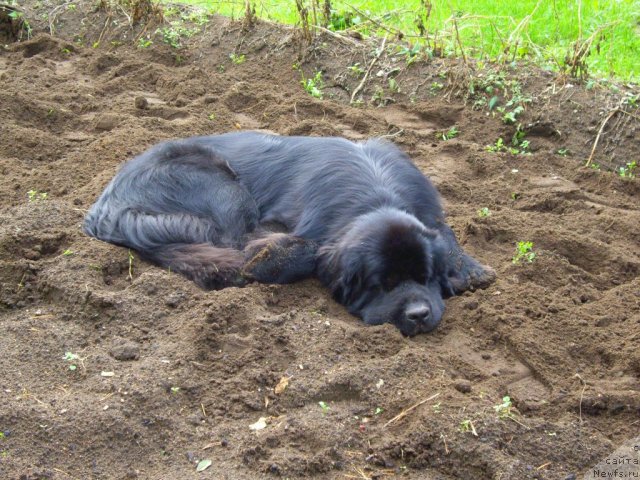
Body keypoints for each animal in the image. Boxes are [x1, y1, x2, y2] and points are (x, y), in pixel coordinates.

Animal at [85, 130, 496, 334]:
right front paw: (265, 260)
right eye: (383, 284)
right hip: (224, 186)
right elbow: (304, 249)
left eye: (425, 279)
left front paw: (470, 269)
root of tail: (107, 205)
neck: (376, 193)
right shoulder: (276, 224)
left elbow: (446, 233)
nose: (419, 314)